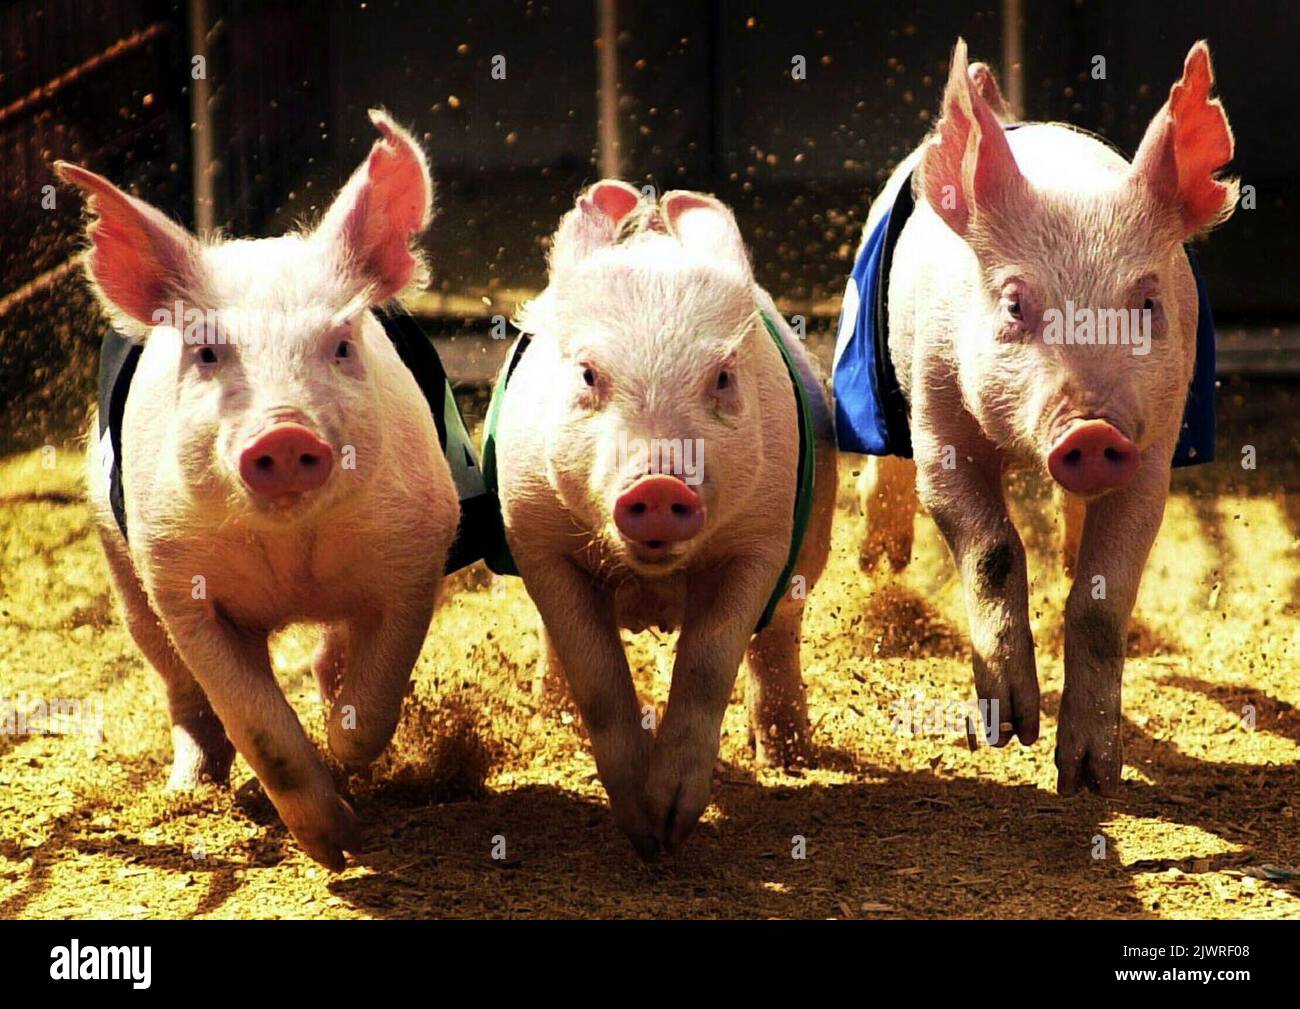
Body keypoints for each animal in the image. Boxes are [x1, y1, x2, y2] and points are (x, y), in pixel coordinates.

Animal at [59, 110, 459, 868]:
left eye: (340, 344)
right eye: (208, 352)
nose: (283, 431)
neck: (293, 558)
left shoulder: (418, 549)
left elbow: (377, 689)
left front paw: (345, 755)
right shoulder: (179, 580)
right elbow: (260, 729)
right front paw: (335, 848)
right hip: (118, 559)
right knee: (177, 683)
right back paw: (188, 786)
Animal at [492, 182, 836, 857]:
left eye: (723, 376)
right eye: (588, 373)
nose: (658, 483)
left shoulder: (761, 540)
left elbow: (708, 664)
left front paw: (670, 826)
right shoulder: (534, 535)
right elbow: (596, 672)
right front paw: (643, 832)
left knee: (779, 636)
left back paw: (788, 757)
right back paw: (552, 716)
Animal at [854, 40, 1237, 794]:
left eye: (1147, 303)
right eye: (1013, 304)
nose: (1091, 430)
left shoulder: (1154, 448)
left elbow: (1101, 601)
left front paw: (1088, 778)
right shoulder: (939, 414)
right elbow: (992, 546)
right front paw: (1008, 730)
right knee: (884, 455)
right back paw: (880, 560)